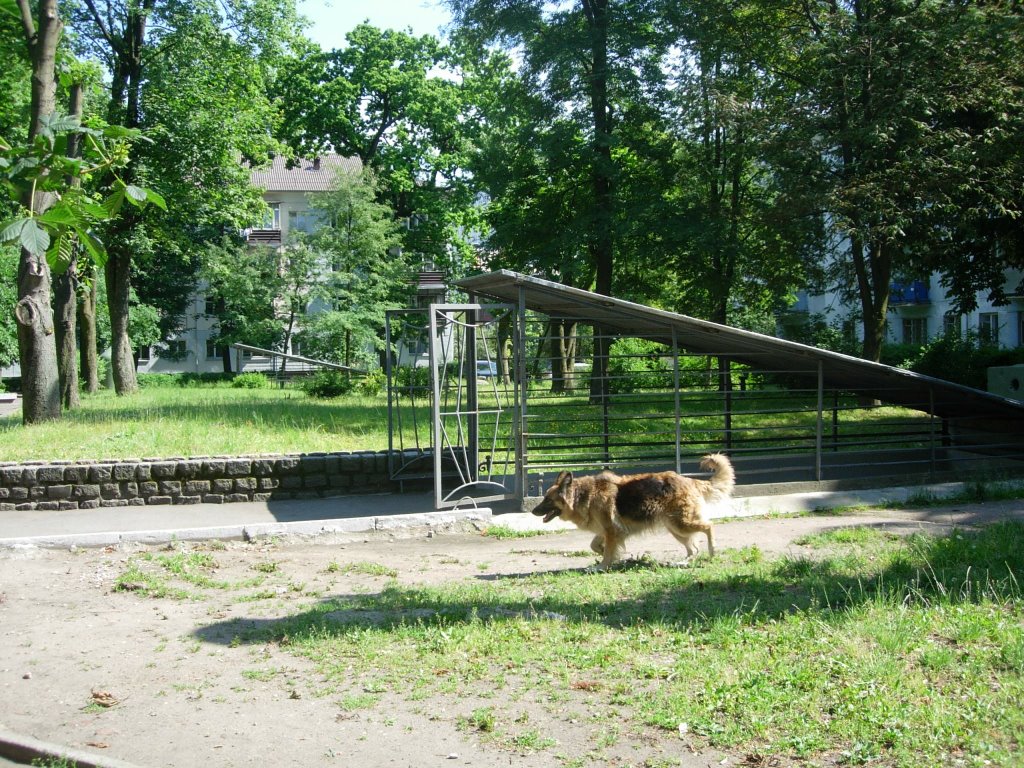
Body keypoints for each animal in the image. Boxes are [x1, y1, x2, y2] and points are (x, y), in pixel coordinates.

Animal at [528, 456, 737, 573]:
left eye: (547, 499)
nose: (532, 511)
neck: (583, 495)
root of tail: (690, 480)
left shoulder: (611, 530)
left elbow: (606, 552)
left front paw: (602, 566)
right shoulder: (608, 530)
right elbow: (595, 545)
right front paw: (609, 555)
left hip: (681, 524)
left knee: (709, 527)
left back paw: (712, 550)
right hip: (676, 528)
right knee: (693, 548)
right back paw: (682, 563)